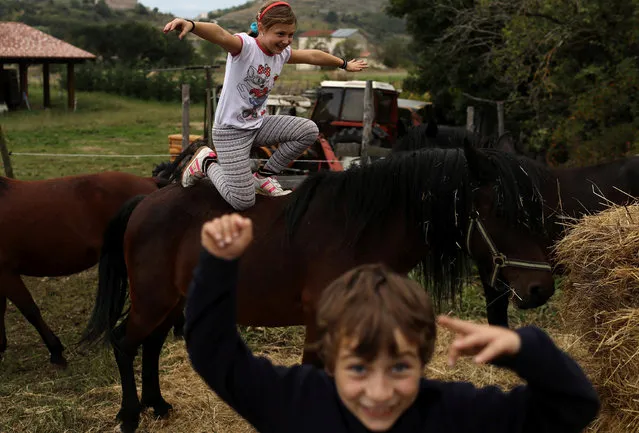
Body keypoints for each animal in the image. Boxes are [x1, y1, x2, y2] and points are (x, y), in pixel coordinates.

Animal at [80, 143, 552, 430]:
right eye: (503, 213)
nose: (542, 289)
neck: (361, 229)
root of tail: (148, 198)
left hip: (170, 303)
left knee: (151, 345)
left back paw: (157, 405)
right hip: (153, 300)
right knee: (124, 343)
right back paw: (129, 414)